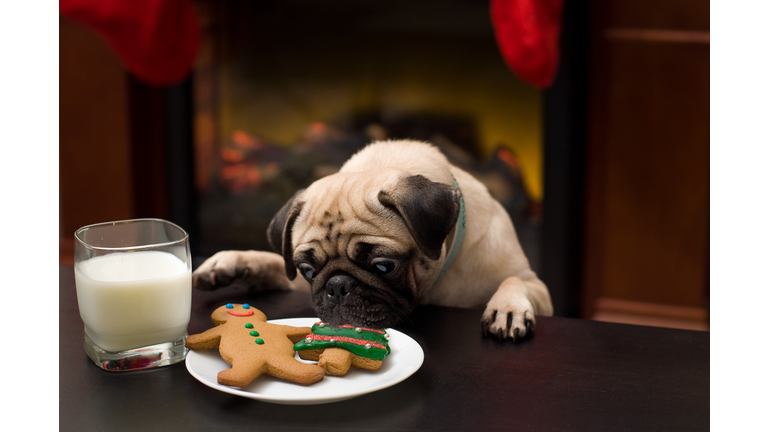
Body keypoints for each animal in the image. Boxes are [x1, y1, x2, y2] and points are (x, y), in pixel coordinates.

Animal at [194, 140, 552, 340]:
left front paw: (507, 308)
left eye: (383, 266)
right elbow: (271, 262)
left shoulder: (537, 288)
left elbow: (513, 281)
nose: (337, 286)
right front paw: (232, 262)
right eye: (308, 271)